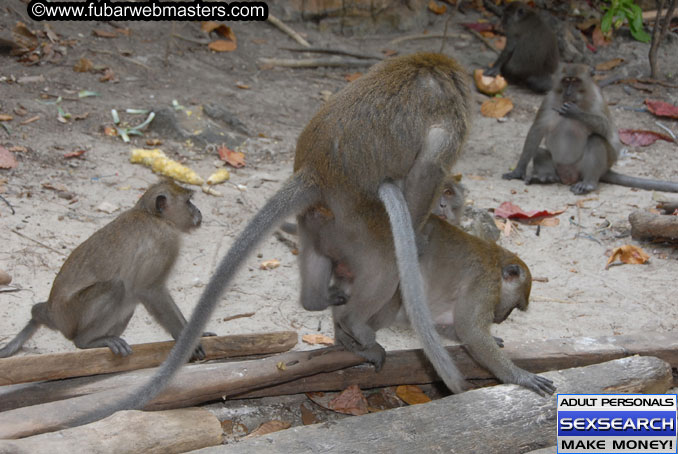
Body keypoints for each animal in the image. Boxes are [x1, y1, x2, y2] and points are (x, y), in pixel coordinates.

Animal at [71, 53, 472, 426]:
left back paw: (319, 306)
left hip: (320, 220)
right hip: (361, 221)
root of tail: (313, 171)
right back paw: (356, 325)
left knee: (321, 254)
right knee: (386, 265)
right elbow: (429, 168)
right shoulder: (449, 122)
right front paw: (420, 228)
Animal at [502, 63, 678, 194]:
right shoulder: (549, 99)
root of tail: (568, 176)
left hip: (591, 166)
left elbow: (607, 129)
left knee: (596, 140)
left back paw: (588, 183)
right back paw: (546, 177)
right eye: (566, 80)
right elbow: (536, 130)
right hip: (558, 165)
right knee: (539, 151)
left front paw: (575, 112)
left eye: (576, 81)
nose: (568, 92)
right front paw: (518, 171)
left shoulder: (597, 99)